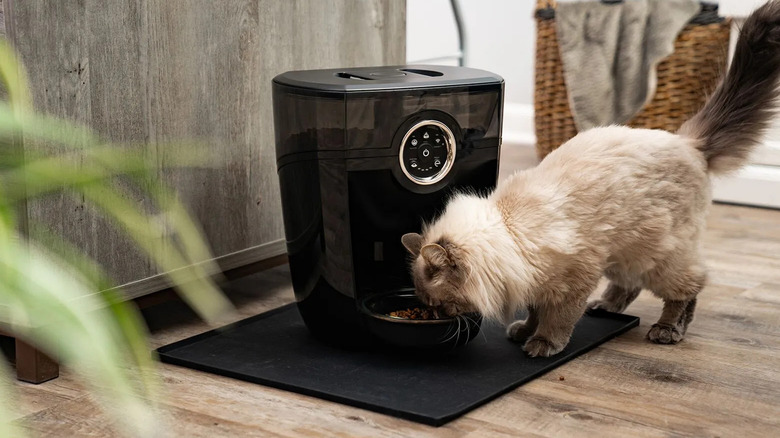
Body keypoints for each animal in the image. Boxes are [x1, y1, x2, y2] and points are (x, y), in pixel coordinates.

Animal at [402, 0, 780, 358]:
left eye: (437, 302)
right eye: (426, 303)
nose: (435, 315)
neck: (511, 233)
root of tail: (688, 141)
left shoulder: (572, 280)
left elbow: (557, 319)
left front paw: (542, 344)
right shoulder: (539, 280)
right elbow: (535, 311)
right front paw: (524, 331)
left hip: (658, 257)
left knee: (691, 287)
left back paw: (668, 330)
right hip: (625, 255)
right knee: (633, 285)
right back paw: (606, 306)